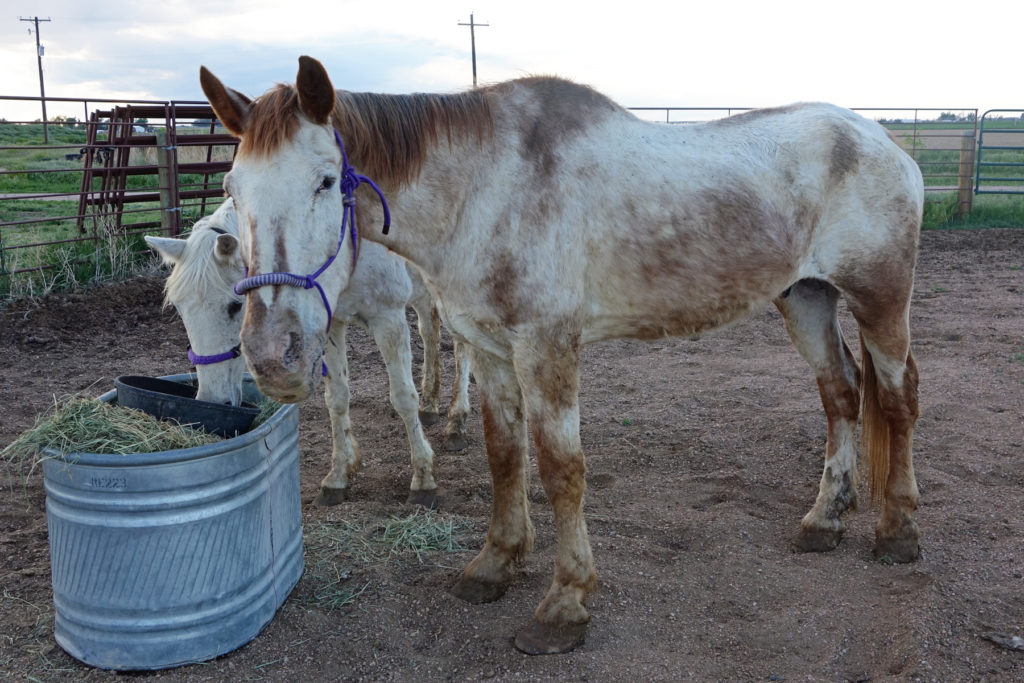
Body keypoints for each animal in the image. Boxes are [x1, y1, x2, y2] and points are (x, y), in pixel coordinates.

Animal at [145, 197, 471, 507]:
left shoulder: (387, 317)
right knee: (430, 332)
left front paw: (423, 480)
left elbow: (403, 397)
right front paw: (338, 477)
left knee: (461, 346)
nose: (213, 401)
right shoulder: (332, 323)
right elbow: (337, 399)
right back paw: (430, 404)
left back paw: (456, 422)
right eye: (179, 308)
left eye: (235, 306)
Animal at [195, 56, 925, 655]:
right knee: (841, 394)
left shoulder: (548, 348)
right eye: (233, 188)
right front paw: (495, 563)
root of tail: (886, 142)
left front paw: (565, 603)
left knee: (896, 400)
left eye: (325, 181)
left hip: (880, 302)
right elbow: (503, 456)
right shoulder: (489, 350)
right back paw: (824, 518)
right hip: (805, 299)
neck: (486, 191)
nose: (273, 352)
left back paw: (897, 531)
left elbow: (561, 469)